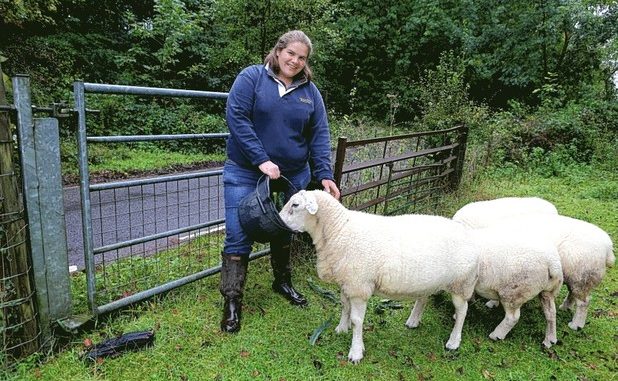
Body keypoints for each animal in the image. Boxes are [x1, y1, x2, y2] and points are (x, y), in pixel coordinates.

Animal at [280, 189, 476, 362]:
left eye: (295, 204)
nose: (279, 221)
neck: (339, 229)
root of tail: (468, 233)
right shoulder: (347, 282)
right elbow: (344, 307)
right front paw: (341, 329)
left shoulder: (359, 287)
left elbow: (357, 320)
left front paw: (356, 351)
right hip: (431, 280)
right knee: (423, 298)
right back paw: (413, 321)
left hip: (462, 283)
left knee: (462, 311)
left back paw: (453, 342)